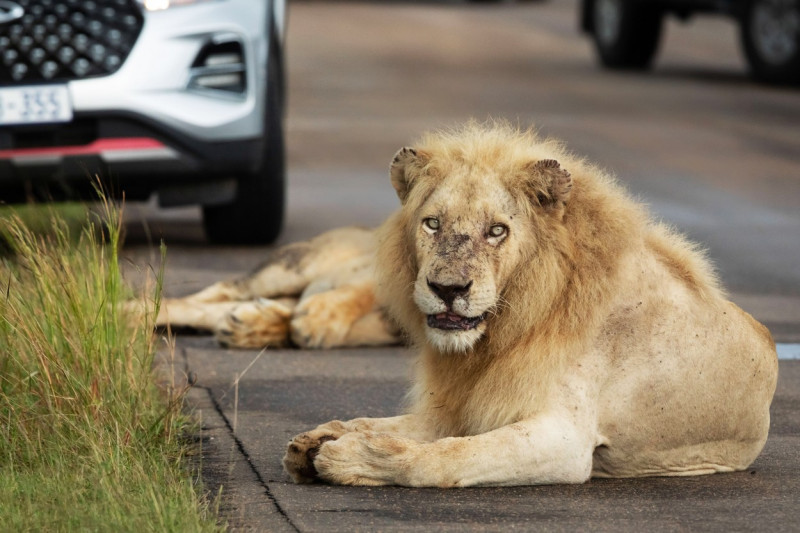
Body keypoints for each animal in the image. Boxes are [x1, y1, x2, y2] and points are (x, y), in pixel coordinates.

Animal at [159, 120, 780, 486]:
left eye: (497, 231)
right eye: (433, 224)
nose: (449, 289)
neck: (508, 327)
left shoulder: (565, 439)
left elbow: (446, 456)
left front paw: (347, 455)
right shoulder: (459, 403)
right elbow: (389, 423)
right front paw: (325, 434)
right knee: (214, 296)